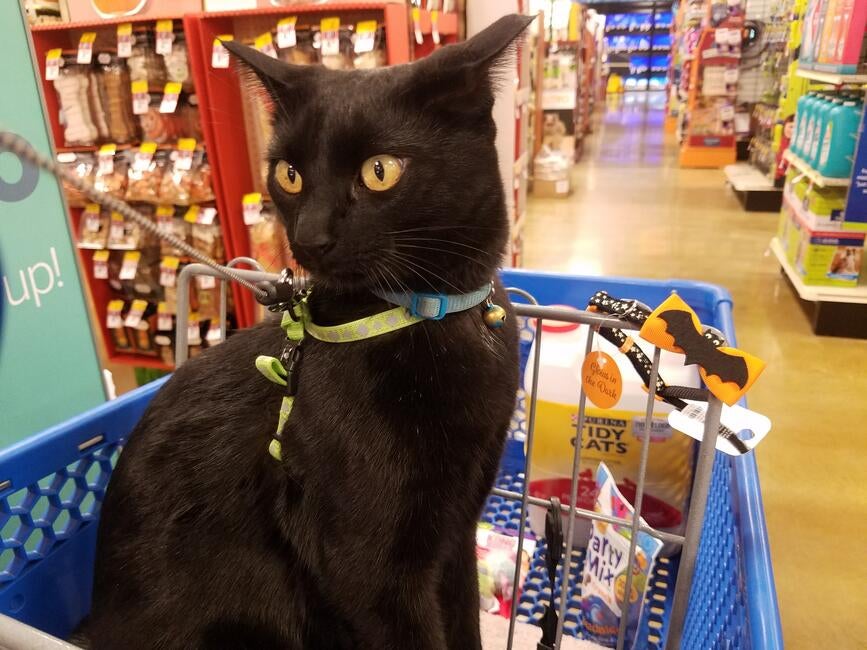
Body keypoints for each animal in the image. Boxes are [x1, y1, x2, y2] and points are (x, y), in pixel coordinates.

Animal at [86, 14, 531, 650]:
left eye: (380, 171)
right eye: (289, 175)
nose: (310, 237)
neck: (431, 314)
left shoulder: (456, 530)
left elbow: (466, 620)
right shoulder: (366, 570)